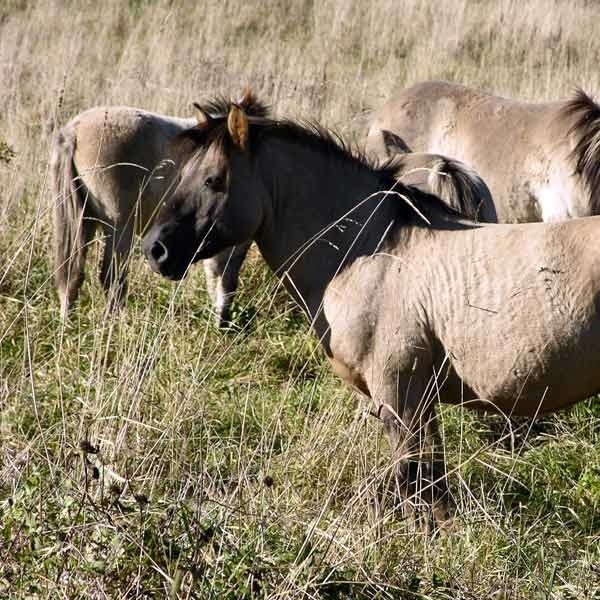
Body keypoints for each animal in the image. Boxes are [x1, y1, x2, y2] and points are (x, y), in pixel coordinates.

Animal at [48, 105, 251, 326]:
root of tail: (73, 130)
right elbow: (225, 278)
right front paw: (221, 322)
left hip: (84, 222)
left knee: (71, 275)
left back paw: (67, 325)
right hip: (119, 227)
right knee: (112, 278)